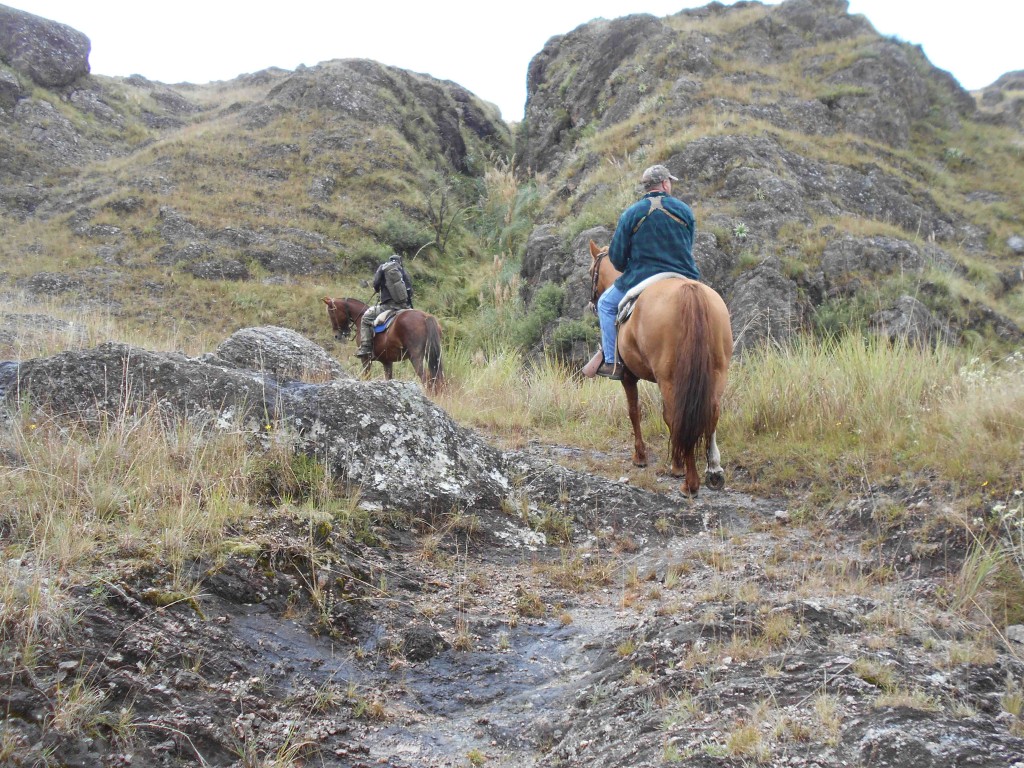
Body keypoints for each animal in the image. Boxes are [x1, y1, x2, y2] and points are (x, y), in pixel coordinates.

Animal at [589, 240, 733, 495]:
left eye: (590, 272)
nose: (592, 303)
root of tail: (689, 291)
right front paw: (677, 462)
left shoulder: (628, 377)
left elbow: (635, 411)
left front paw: (644, 457)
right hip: (716, 374)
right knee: (711, 413)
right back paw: (714, 471)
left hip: (670, 379)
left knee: (680, 416)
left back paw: (690, 483)